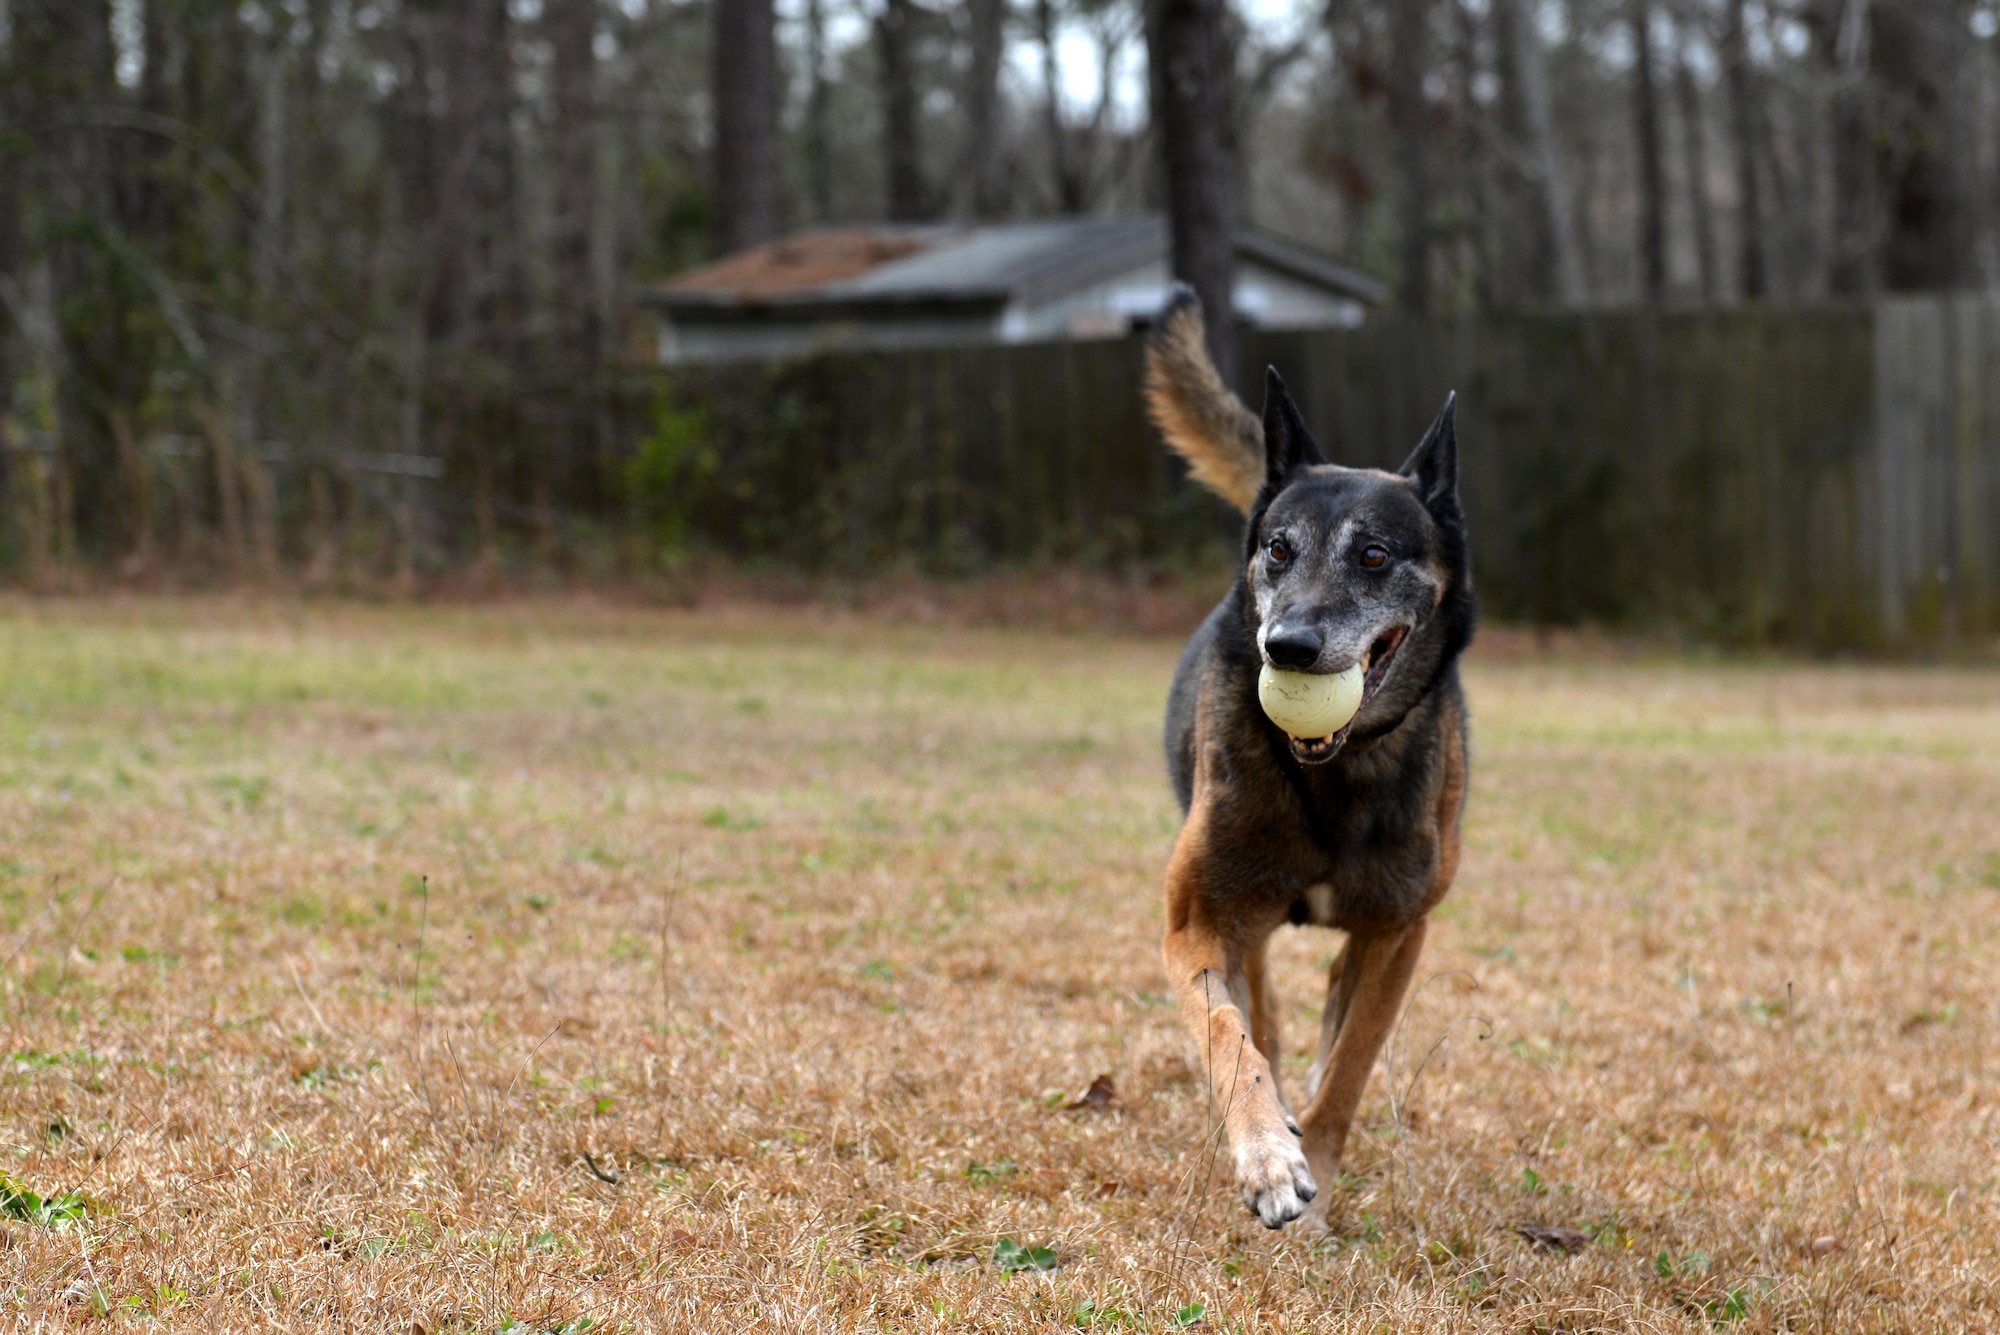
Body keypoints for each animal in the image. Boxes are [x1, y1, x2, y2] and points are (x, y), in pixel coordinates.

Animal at [1144, 291, 1472, 1231]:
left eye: (1374, 555)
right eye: (1279, 550)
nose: (1285, 647)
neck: (1332, 773)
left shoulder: (1396, 933)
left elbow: (1353, 1062)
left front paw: (1315, 1167)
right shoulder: (1196, 926)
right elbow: (1230, 1036)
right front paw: (1267, 1152)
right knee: (1260, 1012)